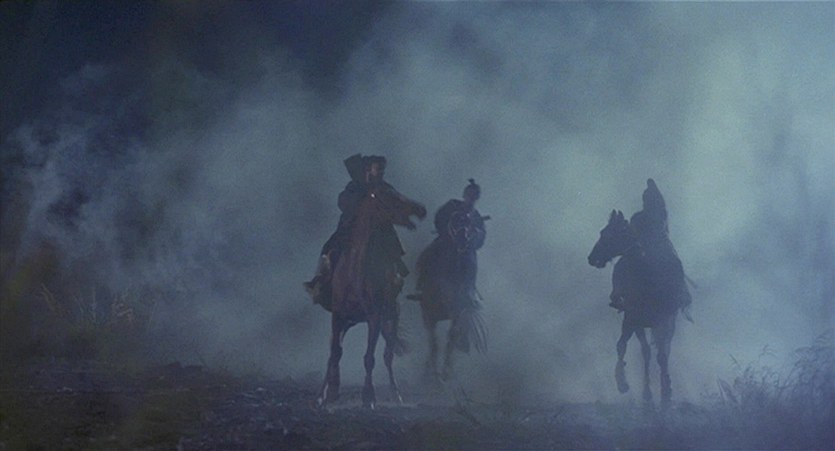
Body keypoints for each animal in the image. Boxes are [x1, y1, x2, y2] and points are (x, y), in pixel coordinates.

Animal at [317, 182, 425, 409]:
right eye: (390, 195)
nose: (421, 210)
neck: (353, 272)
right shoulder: (338, 317)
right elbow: (335, 353)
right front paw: (327, 394)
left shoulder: (375, 317)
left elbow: (370, 357)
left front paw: (368, 396)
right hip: (348, 322)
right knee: (335, 354)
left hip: (390, 319)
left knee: (387, 355)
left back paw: (396, 394)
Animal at [587, 209, 681, 408]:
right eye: (602, 232)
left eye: (608, 234)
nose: (591, 258)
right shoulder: (633, 320)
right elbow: (637, 350)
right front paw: (639, 391)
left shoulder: (663, 322)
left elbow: (662, 355)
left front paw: (665, 394)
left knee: (664, 350)